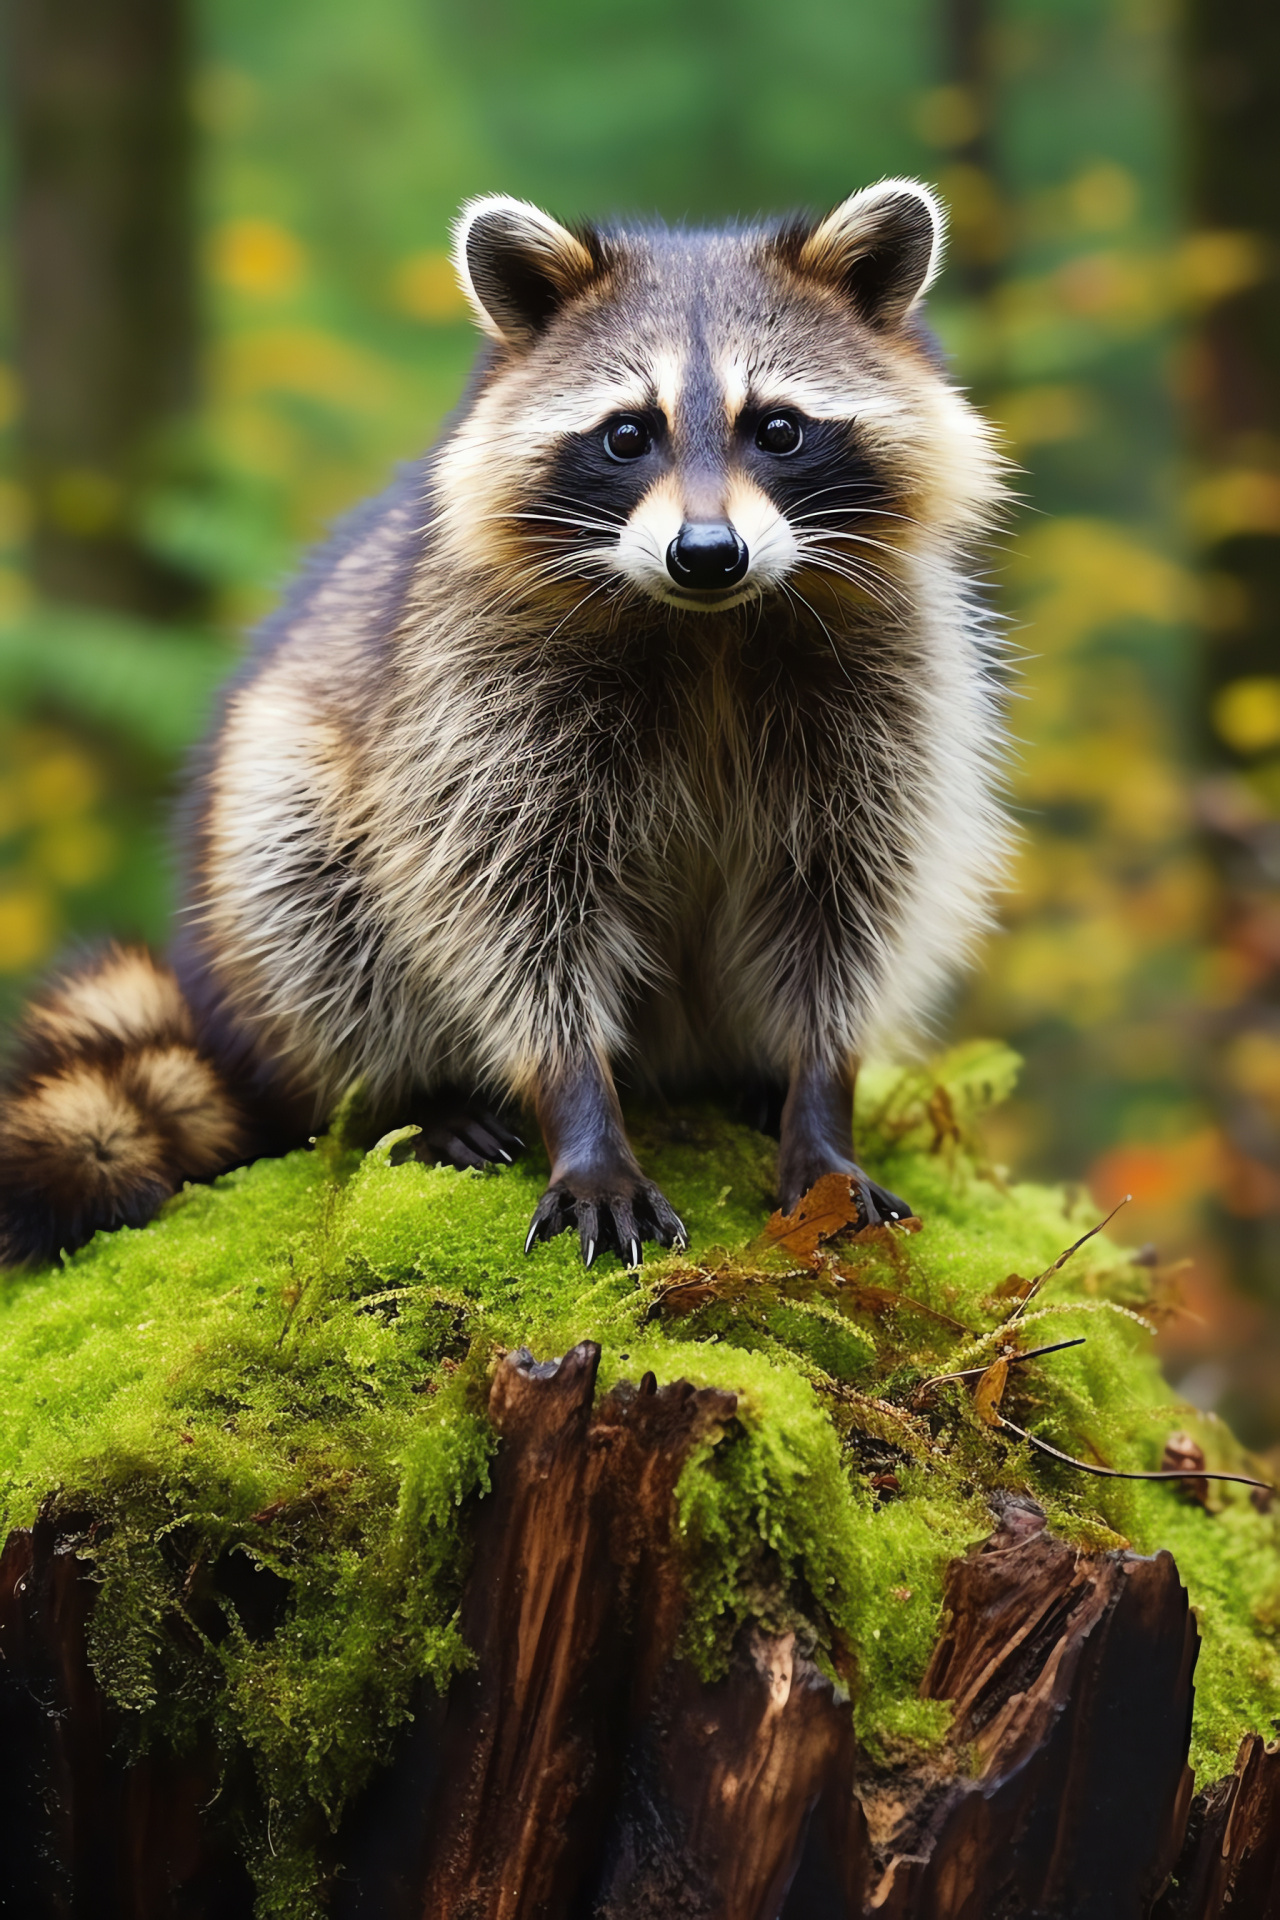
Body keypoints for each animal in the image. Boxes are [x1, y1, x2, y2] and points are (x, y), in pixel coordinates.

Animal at [0, 176, 1005, 1259]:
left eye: (777, 428)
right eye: (627, 433)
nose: (706, 553)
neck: (709, 628)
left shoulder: (890, 695)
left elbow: (844, 906)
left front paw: (818, 1110)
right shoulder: (474, 704)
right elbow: (511, 912)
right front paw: (581, 1117)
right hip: (277, 806)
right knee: (312, 906)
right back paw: (406, 1094)